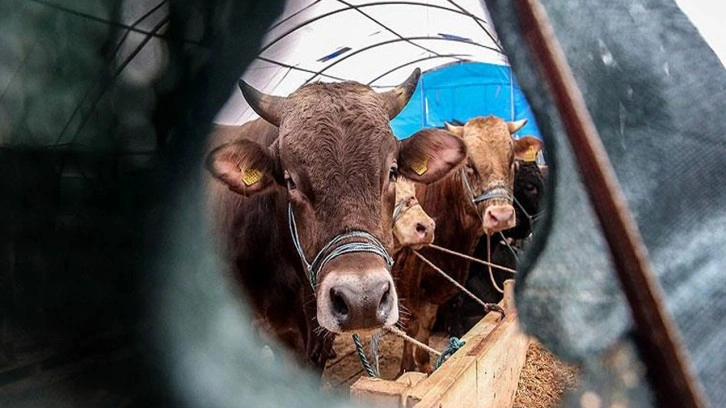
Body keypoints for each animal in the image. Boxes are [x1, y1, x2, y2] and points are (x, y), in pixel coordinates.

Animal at [392, 116, 540, 374]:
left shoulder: (439, 291)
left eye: (512, 161)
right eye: (469, 164)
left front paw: (426, 368)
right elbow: (410, 329)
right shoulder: (408, 286)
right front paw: (406, 368)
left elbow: (424, 335)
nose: (501, 216)